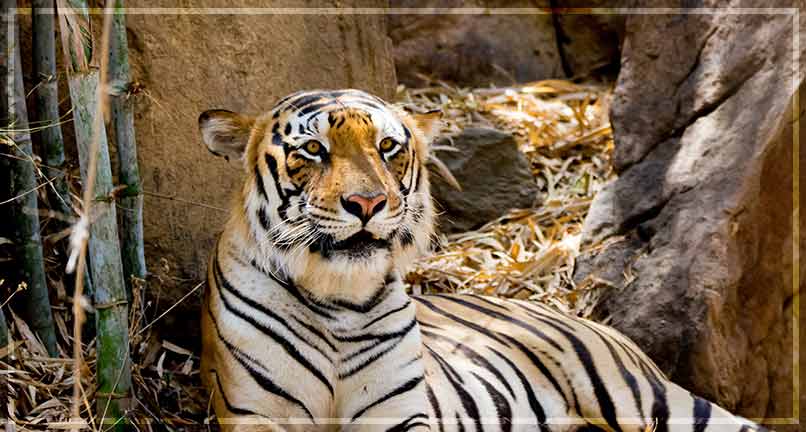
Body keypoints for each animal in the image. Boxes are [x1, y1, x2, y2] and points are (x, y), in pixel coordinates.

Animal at [197, 89, 772, 430]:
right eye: (313, 151)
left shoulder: (398, 413)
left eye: (387, 148)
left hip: (648, 398)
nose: (367, 204)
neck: (339, 296)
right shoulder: (253, 414)